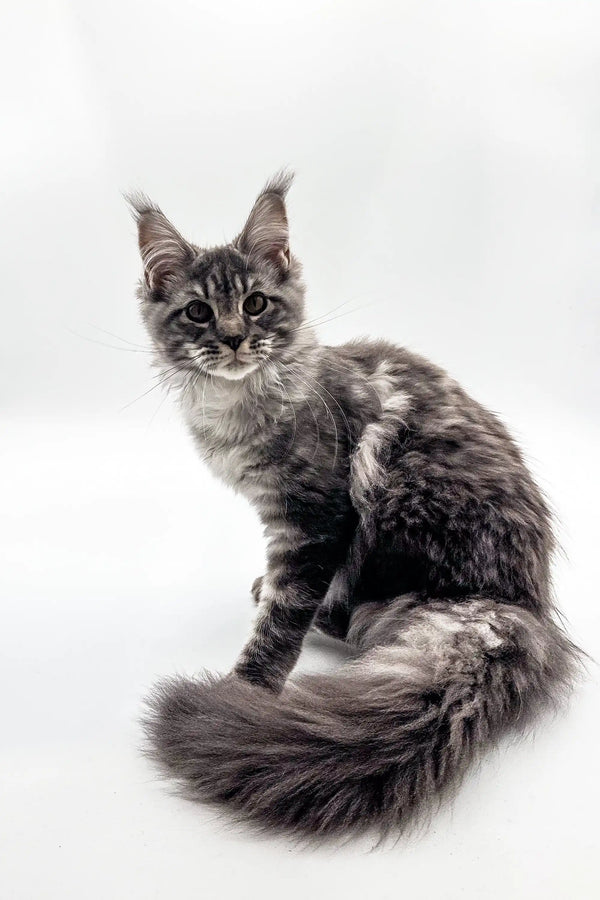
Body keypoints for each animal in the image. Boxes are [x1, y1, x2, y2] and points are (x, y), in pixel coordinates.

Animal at [129, 174, 580, 836]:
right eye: (198, 312)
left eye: (256, 304)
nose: (234, 338)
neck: (239, 405)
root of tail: (513, 608)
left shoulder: (314, 521)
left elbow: (282, 620)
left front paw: (242, 689)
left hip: (398, 503)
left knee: (357, 620)